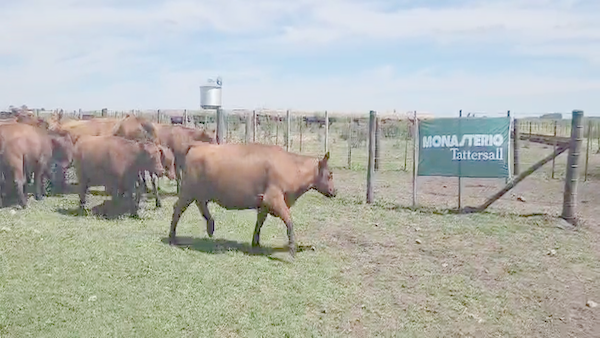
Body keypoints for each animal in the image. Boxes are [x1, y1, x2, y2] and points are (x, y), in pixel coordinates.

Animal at [169, 143, 338, 258]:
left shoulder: (264, 204)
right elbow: (289, 222)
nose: (335, 192)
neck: (292, 167)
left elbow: (259, 223)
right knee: (177, 209)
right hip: (187, 191)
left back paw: (210, 226)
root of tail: (196, 147)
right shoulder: (274, 199)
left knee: (201, 204)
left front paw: (255, 243)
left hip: (198, 192)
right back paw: (172, 237)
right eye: (330, 174)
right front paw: (292, 248)